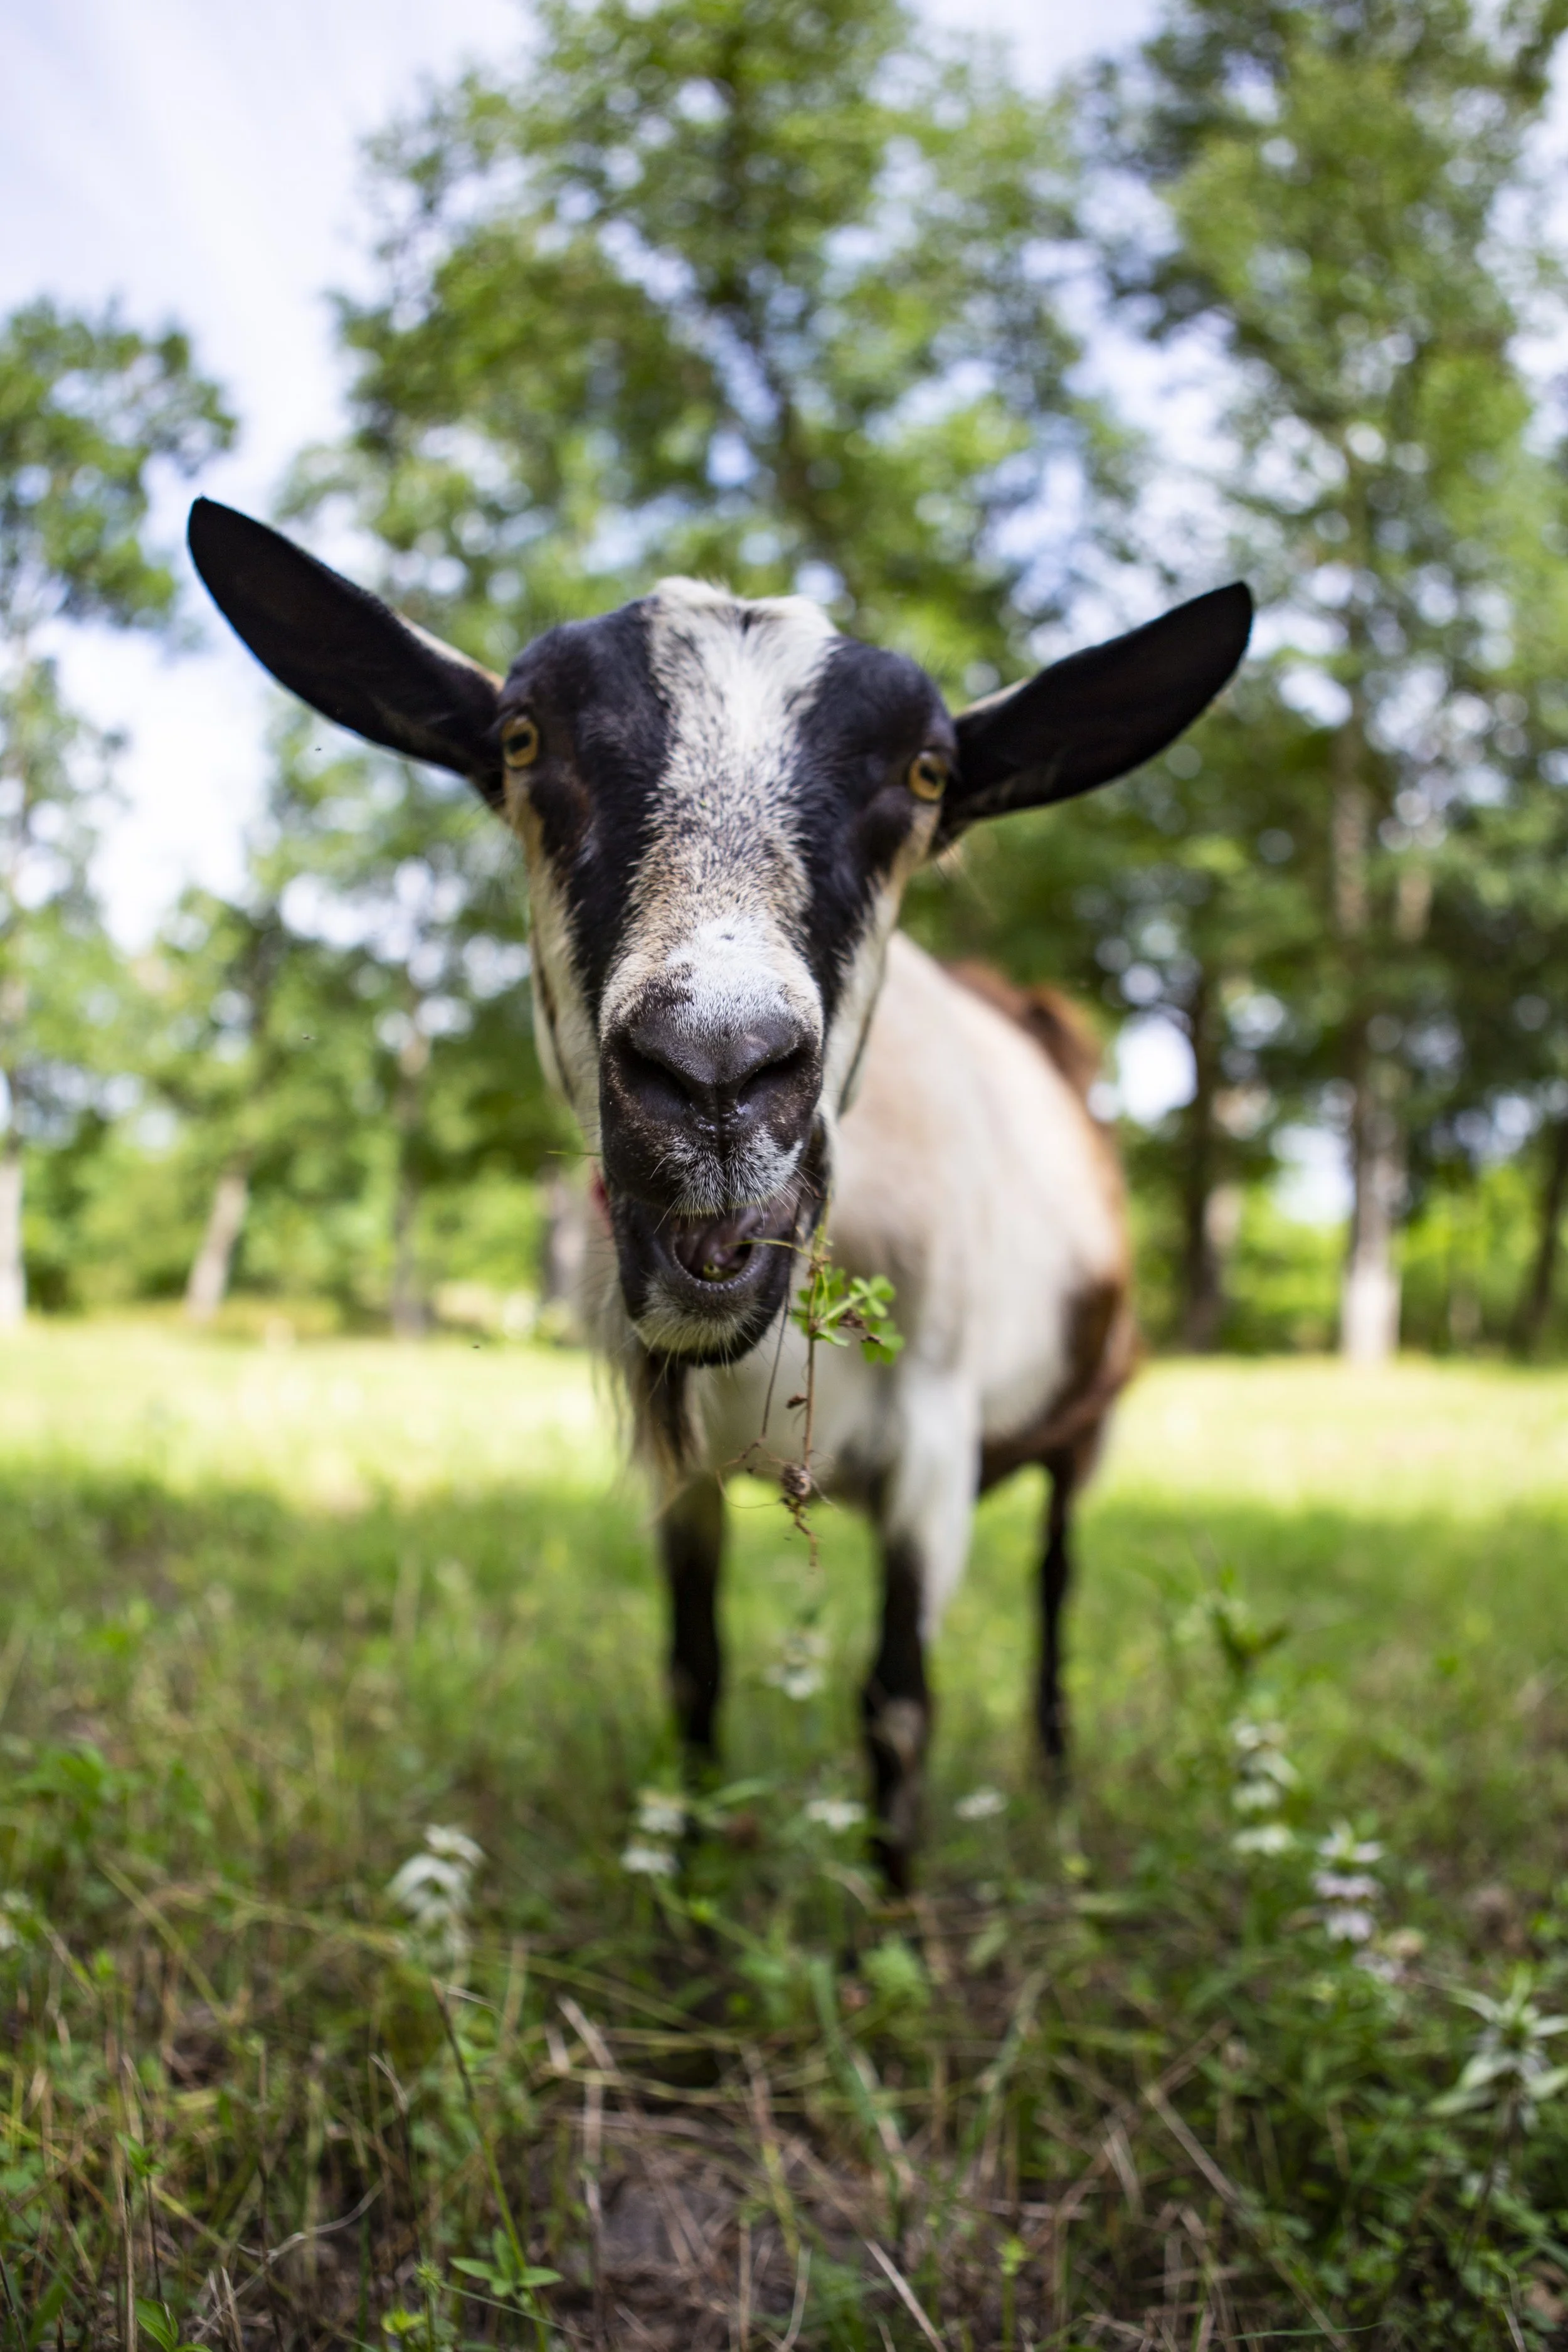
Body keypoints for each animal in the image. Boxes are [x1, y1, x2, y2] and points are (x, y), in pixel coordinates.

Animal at [187, 498, 1250, 1883]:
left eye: (924, 775)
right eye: (523, 738)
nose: (713, 1070)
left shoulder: (933, 1444)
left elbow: (896, 1706)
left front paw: (891, 1923)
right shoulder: (677, 1472)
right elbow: (694, 1672)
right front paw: (683, 1889)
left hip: (1090, 1412)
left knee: (1057, 1582)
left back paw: (1059, 1778)